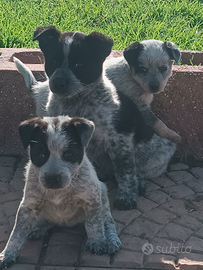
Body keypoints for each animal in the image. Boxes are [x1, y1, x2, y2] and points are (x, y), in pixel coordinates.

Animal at [0, 116, 120, 270]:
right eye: (41, 154)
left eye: (69, 154)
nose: (52, 179)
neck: (58, 192)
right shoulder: (28, 205)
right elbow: (16, 233)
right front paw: (7, 254)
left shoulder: (92, 199)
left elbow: (94, 224)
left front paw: (97, 241)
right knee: (46, 220)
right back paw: (38, 227)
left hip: (103, 195)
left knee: (107, 221)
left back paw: (111, 240)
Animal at [13, 25, 176, 210]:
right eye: (53, 62)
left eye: (79, 64)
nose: (58, 83)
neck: (77, 102)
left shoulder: (120, 139)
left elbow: (125, 170)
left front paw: (126, 196)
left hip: (162, 150)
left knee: (136, 169)